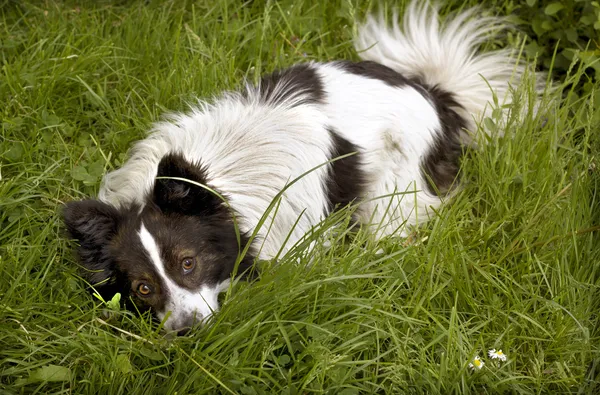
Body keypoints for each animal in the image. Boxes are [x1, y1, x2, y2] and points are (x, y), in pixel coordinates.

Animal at [62, 0, 540, 334]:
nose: (185, 332)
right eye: (142, 288)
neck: (223, 177)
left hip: (391, 196)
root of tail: (436, 95)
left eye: (187, 263)